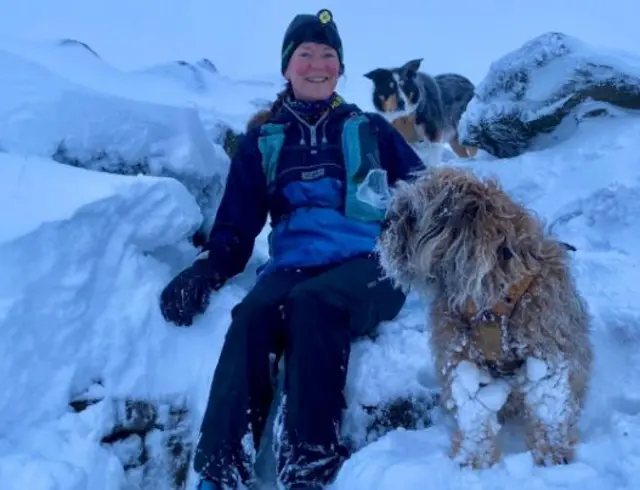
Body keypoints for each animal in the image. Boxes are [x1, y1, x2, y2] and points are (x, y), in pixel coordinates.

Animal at [378, 167, 592, 468]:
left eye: (411, 214)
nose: (383, 224)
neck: (489, 297)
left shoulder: (548, 344)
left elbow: (551, 405)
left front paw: (553, 454)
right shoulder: (460, 357)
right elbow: (474, 413)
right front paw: (473, 460)